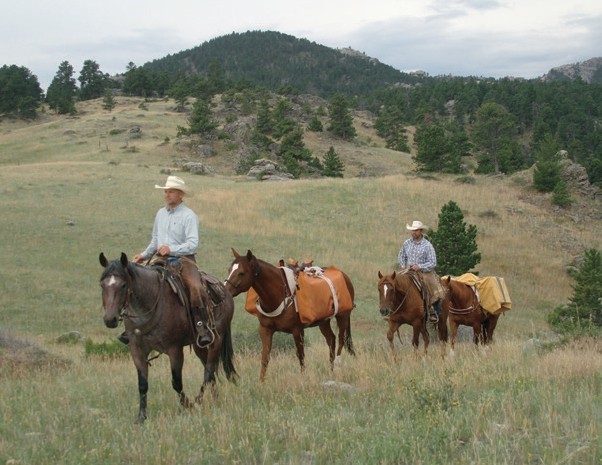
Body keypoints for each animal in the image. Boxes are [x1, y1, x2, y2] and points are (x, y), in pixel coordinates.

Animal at [99, 252, 237, 422]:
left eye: (123, 285)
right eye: (102, 285)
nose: (110, 319)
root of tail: (224, 289)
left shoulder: (174, 349)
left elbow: (176, 382)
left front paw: (188, 406)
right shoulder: (136, 350)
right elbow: (142, 384)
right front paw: (141, 417)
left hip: (216, 339)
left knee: (210, 370)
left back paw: (198, 401)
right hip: (198, 345)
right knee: (208, 369)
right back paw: (214, 400)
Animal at [223, 248, 354, 378]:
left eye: (241, 273)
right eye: (229, 270)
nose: (225, 291)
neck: (279, 295)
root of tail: (344, 275)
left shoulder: (297, 331)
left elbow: (301, 357)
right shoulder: (265, 330)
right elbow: (265, 358)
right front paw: (261, 381)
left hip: (343, 317)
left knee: (341, 341)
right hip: (323, 321)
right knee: (331, 340)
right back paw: (330, 371)